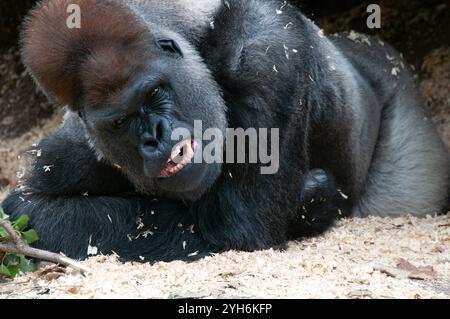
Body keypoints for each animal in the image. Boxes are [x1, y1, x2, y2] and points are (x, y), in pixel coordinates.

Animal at [1, 0, 448, 262]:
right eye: (119, 122)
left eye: (154, 93)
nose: (154, 137)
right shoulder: (70, 148)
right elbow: (35, 204)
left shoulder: (267, 52)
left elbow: (238, 230)